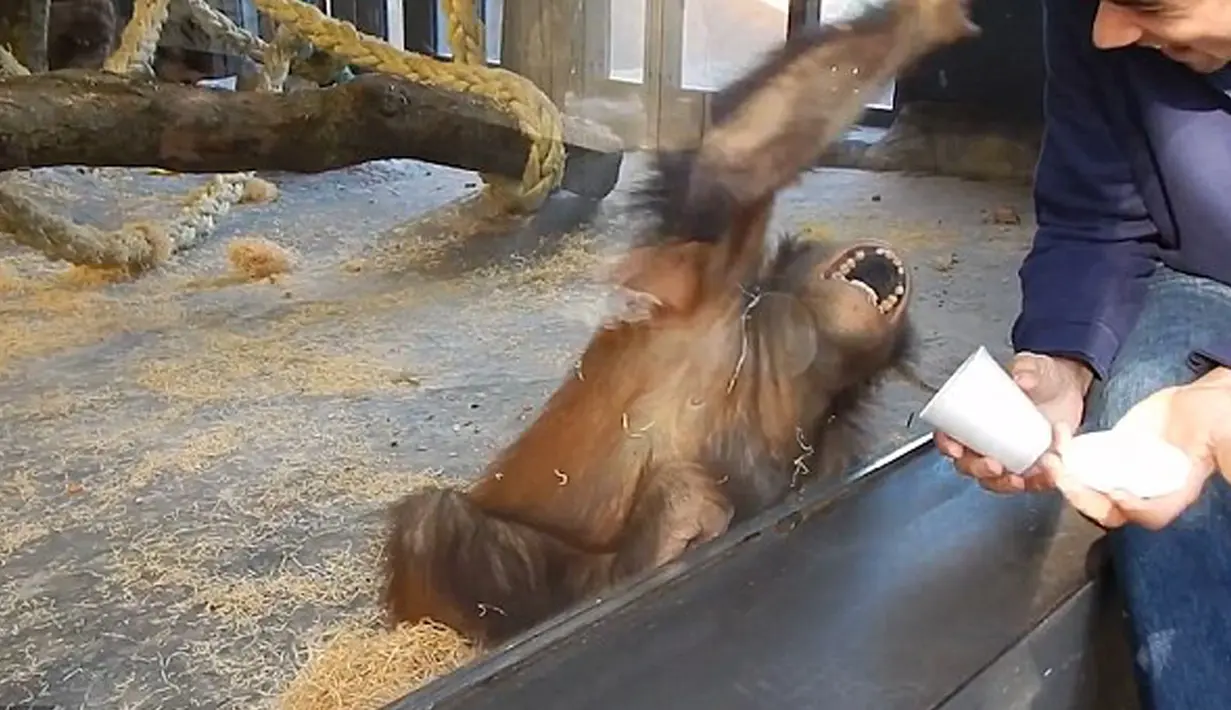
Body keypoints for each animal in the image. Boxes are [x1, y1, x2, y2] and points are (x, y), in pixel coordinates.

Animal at [381, 0, 980, 647]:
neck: (786, 360)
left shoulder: (832, 453)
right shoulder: (712, 284)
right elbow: (737, 157)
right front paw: (927, 20)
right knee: (438, 526)